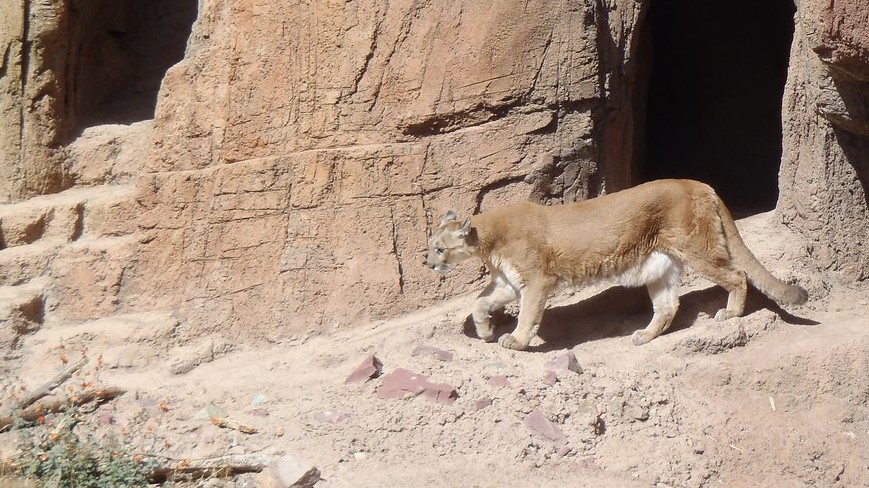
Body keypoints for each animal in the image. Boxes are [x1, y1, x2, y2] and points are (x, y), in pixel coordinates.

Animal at [425, 179, 808, 350]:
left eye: (440, 249)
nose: (429, 264)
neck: (487, 240)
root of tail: (699, 183)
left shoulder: (535, 281)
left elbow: (528, 314)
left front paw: (515, 340)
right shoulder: (508, 281)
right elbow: (479, 302)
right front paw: (485, 331)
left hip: (697, 248)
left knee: (737, 274)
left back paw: (730, 313)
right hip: (661, 265)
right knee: (668, 305)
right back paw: (645, 335)